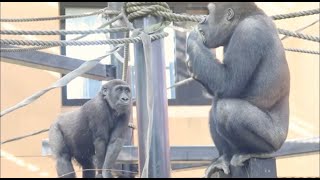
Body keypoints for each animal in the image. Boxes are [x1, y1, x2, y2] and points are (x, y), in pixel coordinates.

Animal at [186, 2, 292, 177]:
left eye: (210, 12)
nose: (203, 19)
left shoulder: (247, 33)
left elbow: (227, 81)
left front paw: (193, 39)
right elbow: (219, 84)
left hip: (275, 140)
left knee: (226, 109)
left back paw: (256, 152)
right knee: (216, 107)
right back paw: (224, 157)